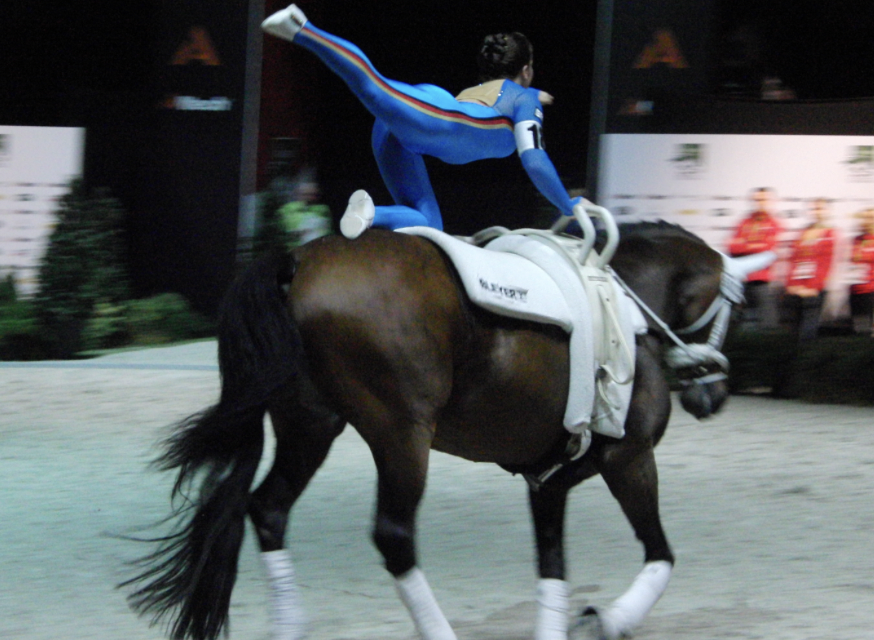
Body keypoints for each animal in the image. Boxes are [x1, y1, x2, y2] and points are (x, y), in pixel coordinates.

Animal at [121, 220, 764, 640]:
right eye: (742, 309)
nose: (713, 397)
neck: (630, 308)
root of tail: (298, 264)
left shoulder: (550, 479)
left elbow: (552, 568)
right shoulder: (628, 458)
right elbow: (660, 555)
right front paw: (610, 619)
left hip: (311, 425)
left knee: (269, 509)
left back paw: (290, 625)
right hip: (401, 432)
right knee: (394, 535)